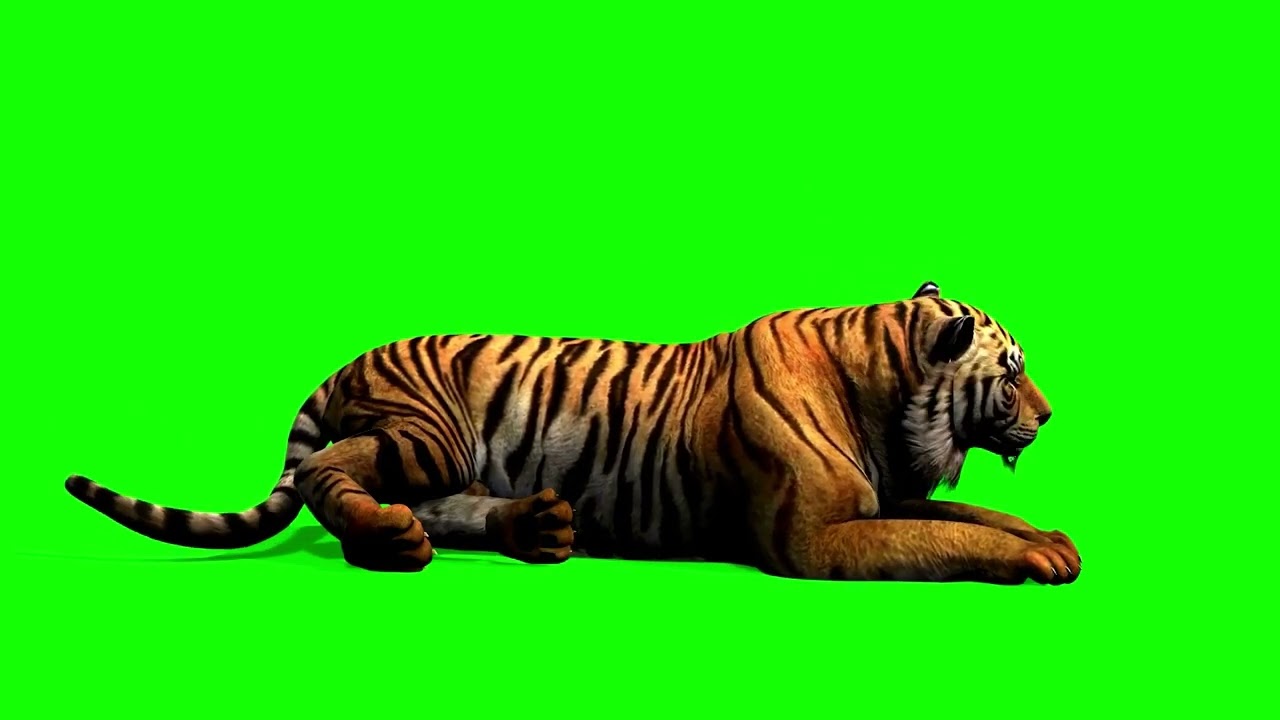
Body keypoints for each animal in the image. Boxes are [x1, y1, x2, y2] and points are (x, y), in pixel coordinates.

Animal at [66, 281, 1080, 584]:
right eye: (1013, 372)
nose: (1050, 415)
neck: (886, 391)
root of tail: (349, 361)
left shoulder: (883, 490)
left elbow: (973, 516)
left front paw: (1050, 537)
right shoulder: (816, 538)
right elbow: (941, 538)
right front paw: (1039, 559)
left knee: (445, 504)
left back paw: (541, 529)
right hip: (425, 433)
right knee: (337, 472)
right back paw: (390, 541)